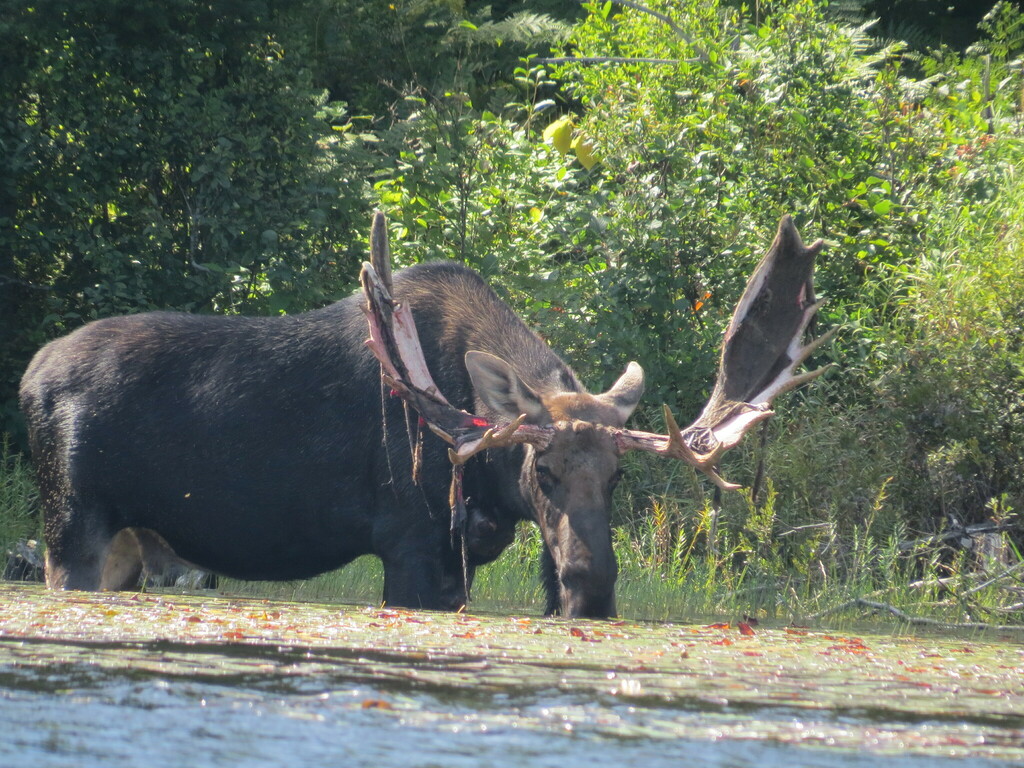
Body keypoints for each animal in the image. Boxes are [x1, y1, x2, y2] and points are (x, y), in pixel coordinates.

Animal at [18, 211, 831, 618]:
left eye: (619, 476)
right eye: (542, 468)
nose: (591, 588)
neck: (488, 480)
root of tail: (28, 379)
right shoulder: (410, 547)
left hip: (128, 544)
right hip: (71, 527)